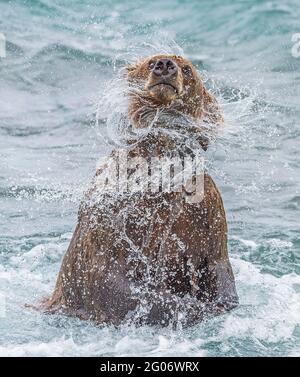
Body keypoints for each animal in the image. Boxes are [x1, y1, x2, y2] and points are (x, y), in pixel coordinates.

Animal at [44, 55, 237, 326]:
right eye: (150, 62)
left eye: (187, 69)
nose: (165, 65)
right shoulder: (112, 216)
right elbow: (113, 279)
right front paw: (188, 308)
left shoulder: (205, 212)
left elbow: (217, 263)